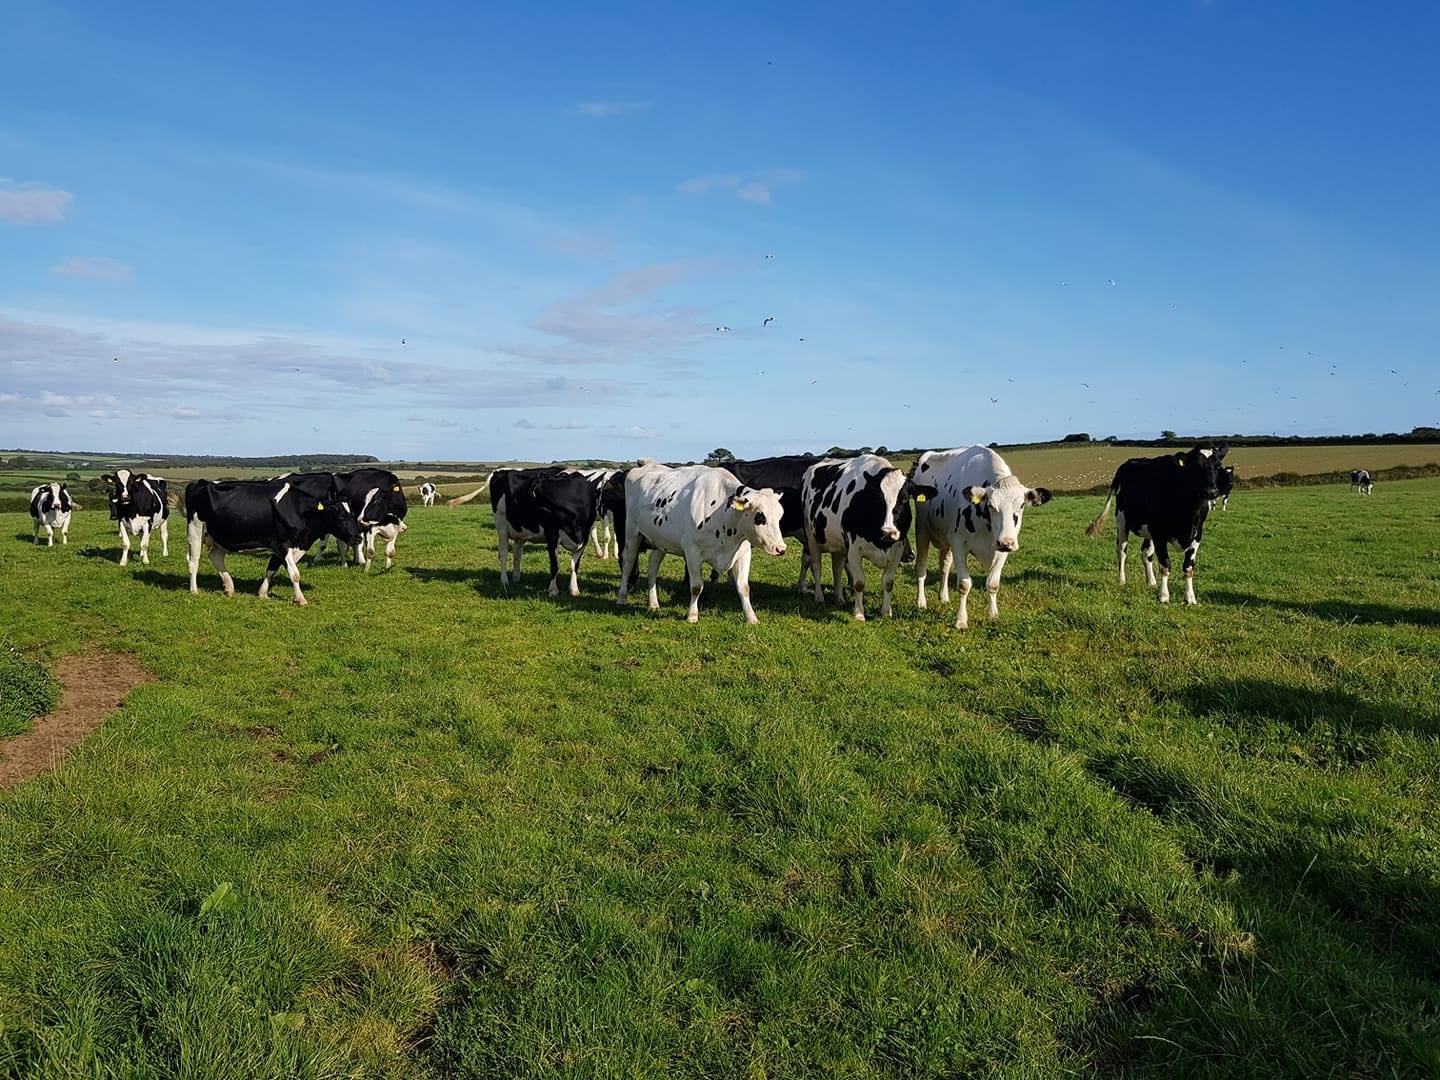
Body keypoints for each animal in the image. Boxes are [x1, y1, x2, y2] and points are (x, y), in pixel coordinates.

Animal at [185, 475, 362, 605]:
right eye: (341, 516)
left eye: (352, 513)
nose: (358, 538)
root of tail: (200, 483)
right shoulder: (282, 545)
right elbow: (294, 574)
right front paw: (301, 599)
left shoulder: (281, 547)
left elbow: (271, 569)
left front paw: (263, 593)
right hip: (195, 529)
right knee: (194, 561)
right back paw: (194, 590)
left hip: (221, 536)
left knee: (215, 556)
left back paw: (229, 587)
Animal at [616, 459, 787, 623]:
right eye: (760, 516)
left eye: (780, 516)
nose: (781, 548)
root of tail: (647, 465)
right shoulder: (692, 552)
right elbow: (696, 587)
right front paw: (692, 615)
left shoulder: (743, 553)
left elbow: (744, 587)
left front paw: (751, 617)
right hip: (632, 532)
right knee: (628, 563)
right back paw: (622, 597)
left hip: (661, 540)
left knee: (652, 568)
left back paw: (653, 603)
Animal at [801, 454, 938, 621]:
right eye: (878, 499)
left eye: (905, 499)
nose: (888, 532)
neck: (881, 543)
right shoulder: (854, 550)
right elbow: (859, 583)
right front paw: (859, 614)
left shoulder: (897, 549)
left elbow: (888, 582)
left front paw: (886, 612)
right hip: (811, 537)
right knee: (816, 567)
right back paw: (819, 597)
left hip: (838, 544)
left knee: (837, 570)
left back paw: (839, 599)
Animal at [911, 446, 1052, 629]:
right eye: (991, 506)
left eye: (1022, 505)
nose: (1006, 542)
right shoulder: (959, 543)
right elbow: (964, 584)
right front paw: (961, 620)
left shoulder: (1002, 548)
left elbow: (993, 584)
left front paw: (992, 615)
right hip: (922, 531)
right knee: (921, 567)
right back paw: (921, 602)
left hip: (946, 540)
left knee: (944, 567)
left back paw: (944, 597)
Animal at [1085, 444, 1229, 605]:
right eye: (1195, 465)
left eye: (1218, 465)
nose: (1211, 492)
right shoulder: (1160, 534)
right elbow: (1165, 565)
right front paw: (1164, 596)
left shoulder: (1197, 535)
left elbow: (1188, 567)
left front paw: (1190, 597)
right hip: (1122, 520)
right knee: (1121, 550)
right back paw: (1122, 580)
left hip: (1148, 530)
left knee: (1146, 552)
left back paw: (1151, 581)